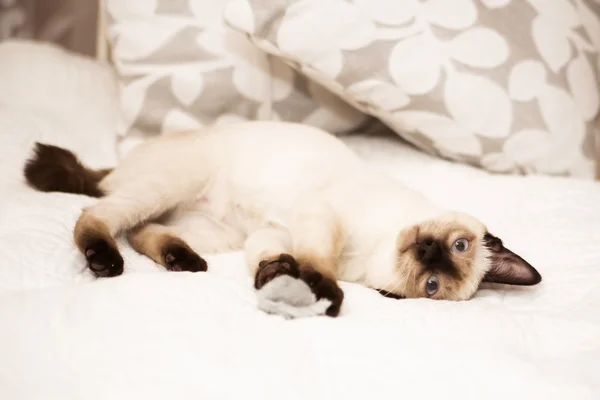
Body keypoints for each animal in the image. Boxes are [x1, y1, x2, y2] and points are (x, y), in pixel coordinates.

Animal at [23, 122, 540, 318]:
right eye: (459, 246)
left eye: (433, 285)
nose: (428, 249)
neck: (372, 252)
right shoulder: (320, 218)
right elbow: (317, 263)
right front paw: (325, 296)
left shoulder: (273, 233)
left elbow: (277, 260)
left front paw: (277, 277)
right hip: (171, 185)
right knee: (97, 214)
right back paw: (104, 261)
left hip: (212, 231)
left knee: (139, 229)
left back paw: (179, 261)